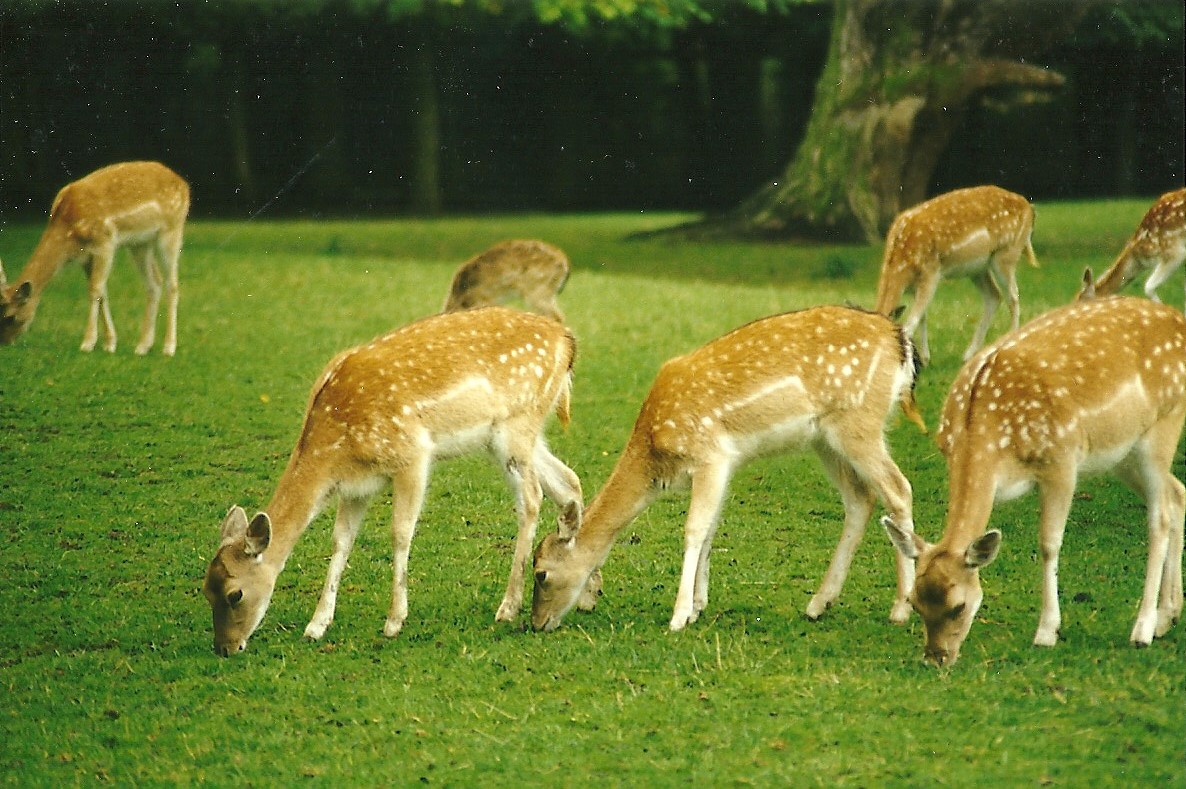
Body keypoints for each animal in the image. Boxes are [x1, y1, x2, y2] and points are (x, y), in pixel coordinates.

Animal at [0, 161, 190, 355]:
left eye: (10, 316)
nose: (5, 342)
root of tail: (183, 184)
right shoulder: (86, 257)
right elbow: (102, 292)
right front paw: (109, 343)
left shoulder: (104, 242)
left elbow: (94, 291)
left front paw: (87, 343)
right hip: (140, 244)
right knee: (154, 283)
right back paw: (143, 346)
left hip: (172, 230)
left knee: (172, 285)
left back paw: (168, 348)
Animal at [202, 307, 601, 656]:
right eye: (205, 589)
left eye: (235, 594)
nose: (225, 648)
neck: (336, 445)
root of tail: (567, 341)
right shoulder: (357, 486)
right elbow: (341, 541)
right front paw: (316, 625)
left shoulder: (412, 455)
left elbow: (400, 532)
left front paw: (394, 621)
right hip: (511, 435)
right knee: (568, 483)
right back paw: (587, 592)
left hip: (515, 425)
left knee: (532, 497)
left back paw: (508, 607)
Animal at [531, 305, 927, 634]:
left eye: (541, 574)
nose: (535, 624)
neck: (655, 451)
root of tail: (900, 342)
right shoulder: (723, 466)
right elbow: (710, 529)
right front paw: (697, 607)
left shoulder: (709, 456)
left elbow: (694, 530)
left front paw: (678, 616)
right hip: (825, 440)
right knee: (861, 499)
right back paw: (818, 603)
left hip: (859, 423)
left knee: (899, 489)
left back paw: (901, 608)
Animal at [873, 185, 1038, 366]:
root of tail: (1029, 207)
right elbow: (923, 317)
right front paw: (925, 359)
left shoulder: (931, 272)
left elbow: (912, 321)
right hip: (978, 269)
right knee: (994, 296)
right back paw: (968, 355)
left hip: (1006, 254)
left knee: (1013, 297)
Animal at [883, 296, 1186, 667]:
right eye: (915, 602)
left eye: (958, 607)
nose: (935, 658)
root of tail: (1178, 319)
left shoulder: (1061, 461)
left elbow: (1048, 543)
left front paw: (1046, 632)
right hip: (1121, 452)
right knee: (1177, 493)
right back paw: (1167, 617)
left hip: (1164, 424)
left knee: (1159, 517)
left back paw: (1142, 630)